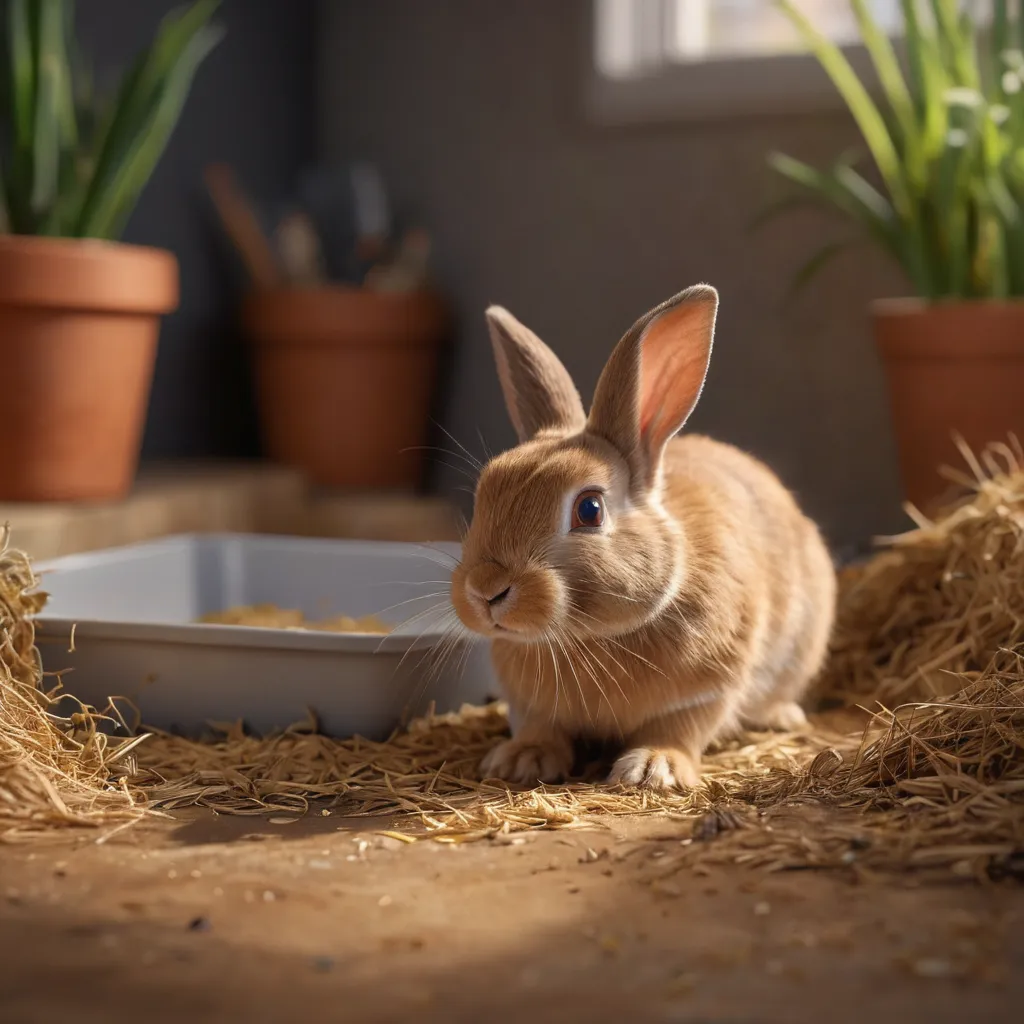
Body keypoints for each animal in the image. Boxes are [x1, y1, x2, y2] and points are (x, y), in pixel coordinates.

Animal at [449, 284, 836, 792]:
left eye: (590, 509)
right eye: (484, 493)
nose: (485, 590)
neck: (584, 638)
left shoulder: (708, 688)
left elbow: (680, 728)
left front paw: (653, 769)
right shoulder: (528, 702)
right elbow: (538, 726)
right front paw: (521, 759)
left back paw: (782, 716)